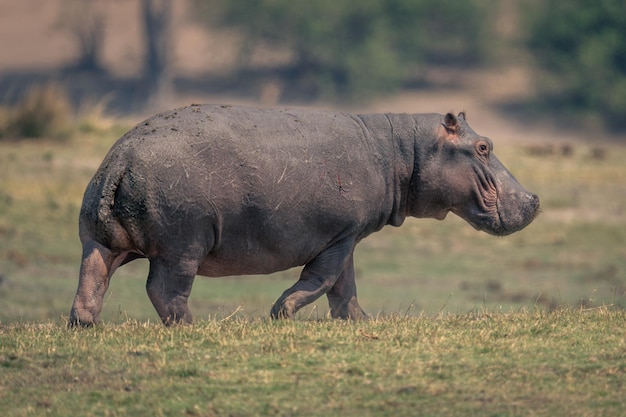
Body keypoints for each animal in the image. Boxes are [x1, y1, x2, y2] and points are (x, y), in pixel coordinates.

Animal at [67, 104, 536, 324]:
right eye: (483, 146)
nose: (533, 200)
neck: (406, 151)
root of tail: (120, 160)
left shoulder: (347, 237)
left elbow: (345, 287)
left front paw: (360, 322)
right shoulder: (340, 235)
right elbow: (324, 278)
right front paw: (283, 313)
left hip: (99, 239)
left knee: (92, 278)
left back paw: (85, 326)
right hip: (183, 245)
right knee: (165, 290)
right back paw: (192, 327)